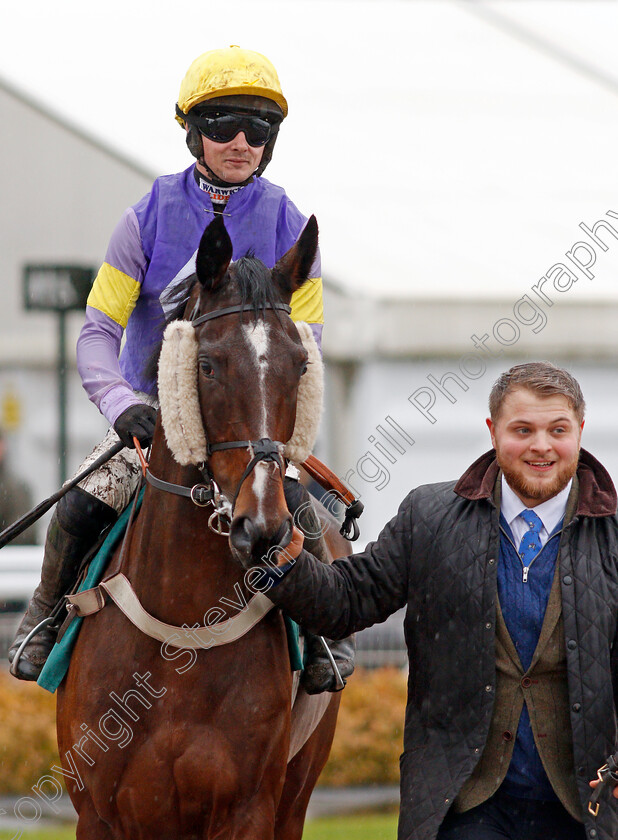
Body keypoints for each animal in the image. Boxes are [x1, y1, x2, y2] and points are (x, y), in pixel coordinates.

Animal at [56, 218, 346, 840]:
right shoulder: (98, 812)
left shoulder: (249, 809)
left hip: (299, 788)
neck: (181, 630)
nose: (261, 527)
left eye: (301, 366)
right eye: (207, 364)